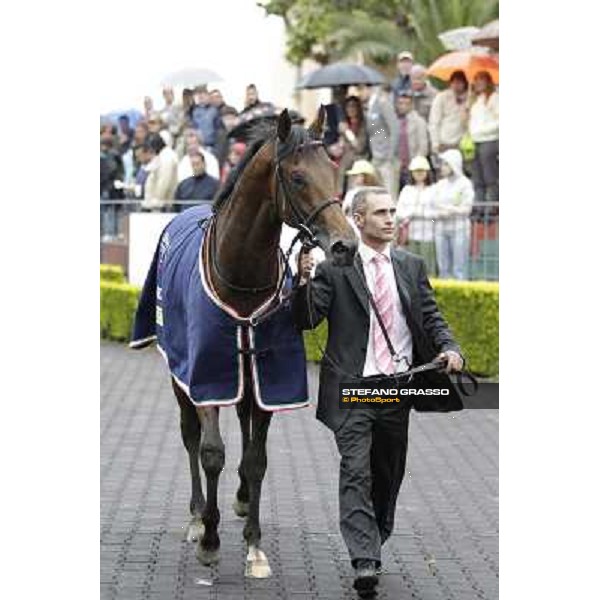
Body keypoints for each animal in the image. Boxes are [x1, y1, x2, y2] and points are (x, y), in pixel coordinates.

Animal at [132, 106, 358, 576]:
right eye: (297, 177)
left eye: (333, 170)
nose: (345, 245)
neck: (242, 279)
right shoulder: (208, 372)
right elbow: (211, 451)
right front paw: (210, 539)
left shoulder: (268, 377)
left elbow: (256, 459)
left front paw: (254, 545)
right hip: (178, 372)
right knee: (189, 435)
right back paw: (197, 516)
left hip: (248, 376)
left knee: (244, 423)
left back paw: (237, 501)